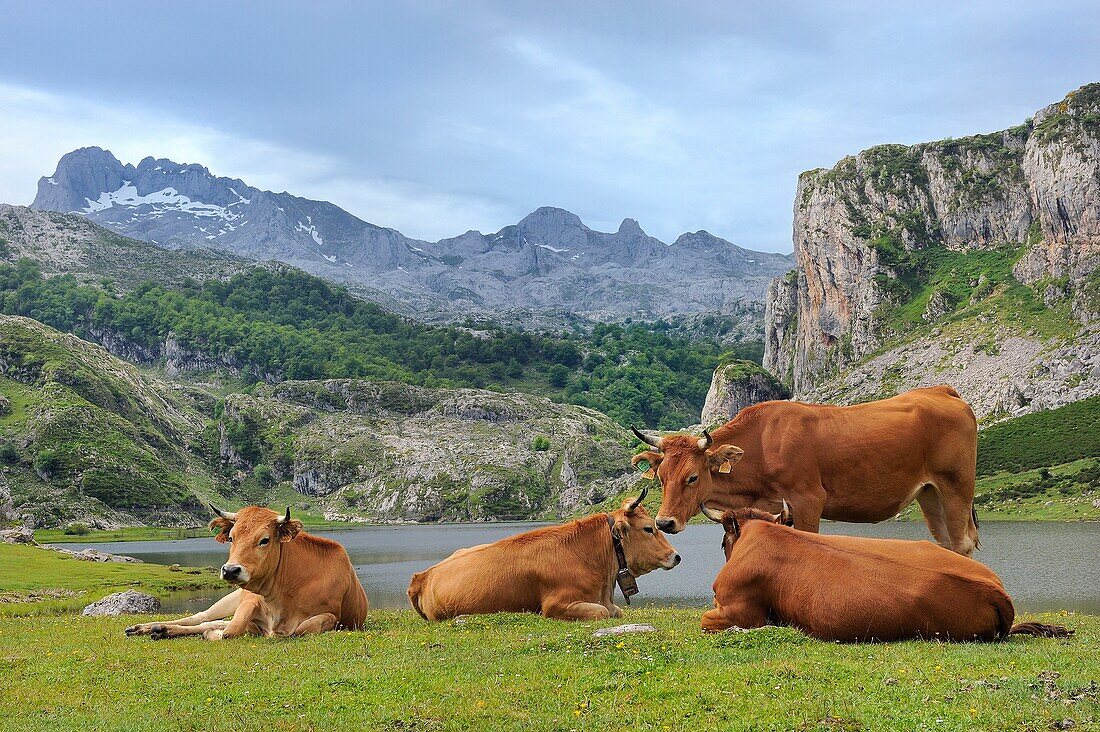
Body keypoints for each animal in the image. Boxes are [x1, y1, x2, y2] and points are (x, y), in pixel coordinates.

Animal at [124, 506, 365, 638]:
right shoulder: (249, 602)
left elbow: (304, 628)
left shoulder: (332, 616)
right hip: (230, 599)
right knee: (200, 618)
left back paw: (159, 629)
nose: (230, 570)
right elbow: (231, 629)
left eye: (264, 540)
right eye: (231, 537)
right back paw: (145, 628)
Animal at [407, 488, 677, 620]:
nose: (676, 556)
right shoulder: (556, 605)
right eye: (648, 528)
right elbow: (601, 613)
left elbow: (615, 611)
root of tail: (422, 576)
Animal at [638, 385, 981, 550]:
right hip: (929, 493)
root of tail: (940, 390)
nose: (665, 522)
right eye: (661, 478)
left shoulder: (808, 500)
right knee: (945, 542)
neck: (763, 442)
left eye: (693, 477)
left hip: (956, 487)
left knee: (961, 542)